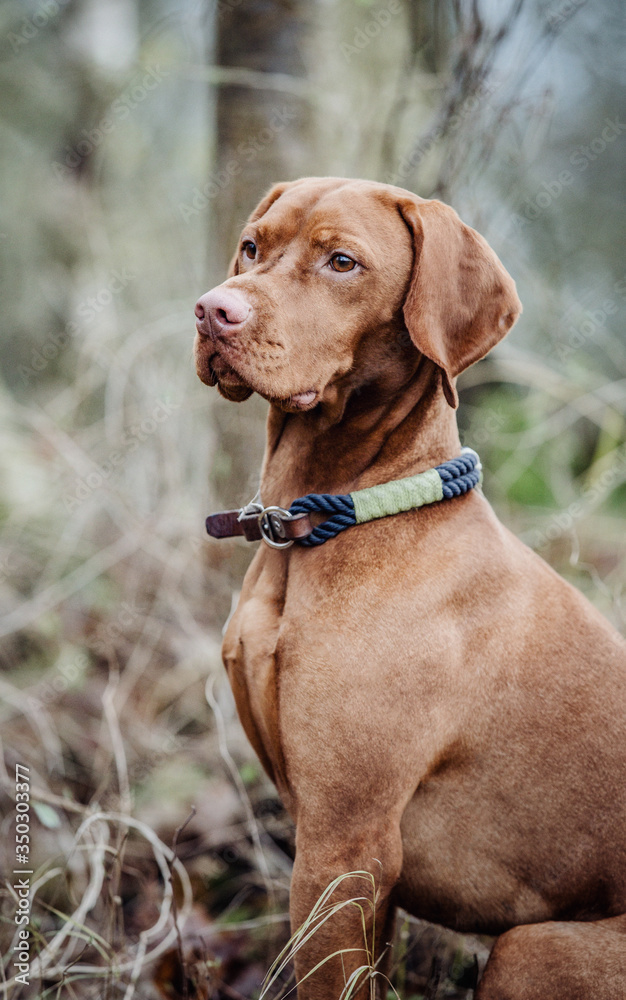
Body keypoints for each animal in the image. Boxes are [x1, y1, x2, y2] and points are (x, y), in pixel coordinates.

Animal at [193, 180, 624, 1000]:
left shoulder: (343, 844)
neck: (333, 521)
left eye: (341, 262)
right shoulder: (359, 869)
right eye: (252, 247)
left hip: (533, 951)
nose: (210, 311)